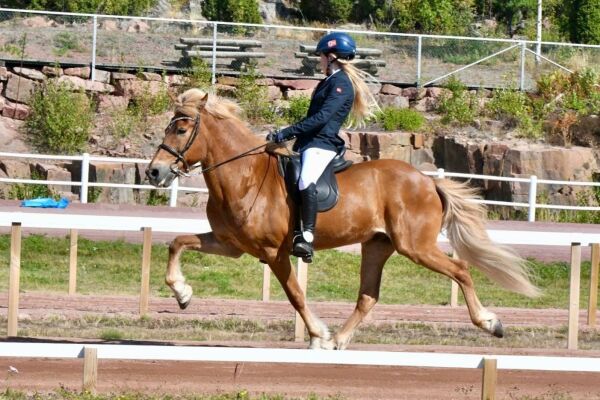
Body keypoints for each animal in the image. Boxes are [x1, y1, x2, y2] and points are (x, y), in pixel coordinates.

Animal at [145, 88, 540, 350]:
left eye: (181, 130)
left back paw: (490, 323)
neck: (244, 176)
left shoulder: (273, 253)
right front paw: (182, 294)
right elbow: (176, 243)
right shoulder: (232, 245)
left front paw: (317, 334)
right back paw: (340, 339)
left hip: (416, 246)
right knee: (368, 296)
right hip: (378, 246)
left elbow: (295, 295)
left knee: (460, 270)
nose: (154, 172)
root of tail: (427, 180)